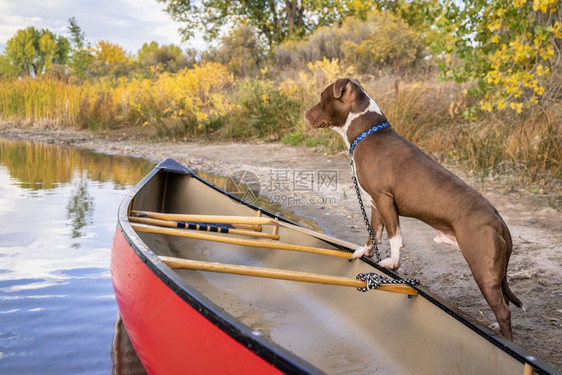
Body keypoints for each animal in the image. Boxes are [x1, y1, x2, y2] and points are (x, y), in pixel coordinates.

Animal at [302, 78, 520, 340]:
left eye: (322, 98)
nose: (305, 113)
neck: (366, 132)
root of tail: (499, 222)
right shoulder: (374, 203)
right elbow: (373, 232)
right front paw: (364, 252)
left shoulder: (385, 199)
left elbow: (395, 236)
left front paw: (392, 262)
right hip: (493, 271)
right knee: (503, 303)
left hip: (483, 268)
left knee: (503, 310)